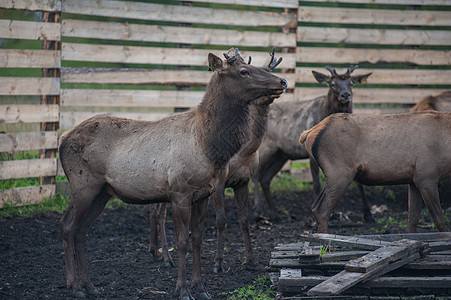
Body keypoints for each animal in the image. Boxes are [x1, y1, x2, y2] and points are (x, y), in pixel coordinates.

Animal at [58, 49, 288, 300]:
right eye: (244, 71)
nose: (282, 81)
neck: (209, 146)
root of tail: (61, 140)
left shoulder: (204, 194)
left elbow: (197, 238)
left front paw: (201, 288)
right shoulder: (180, 191)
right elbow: (182, 241)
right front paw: (183, 289)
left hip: (102, 192)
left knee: (81, 230)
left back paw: (90, 285)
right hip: (82, 185)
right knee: (68, 227)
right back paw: (74, 286)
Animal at [252, 65, 372, 220]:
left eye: (351, 83)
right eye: (332, 84)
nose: (346, 95)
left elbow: (359, 184)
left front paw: (368, 214)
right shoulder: (311, 155)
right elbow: (316, 183)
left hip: (281, 154)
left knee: (265, 178)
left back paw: (274, 213)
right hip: (267, 146)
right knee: (256, 175)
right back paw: (257, 210)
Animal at [300, 111, 451, 233]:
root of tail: (308, 133)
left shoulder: (414, 181)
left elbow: (412, 220)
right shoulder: (427, 177)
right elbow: (440, 220)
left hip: (333, 175)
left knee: (315, 206)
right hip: (340, 173)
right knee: (322, 210)